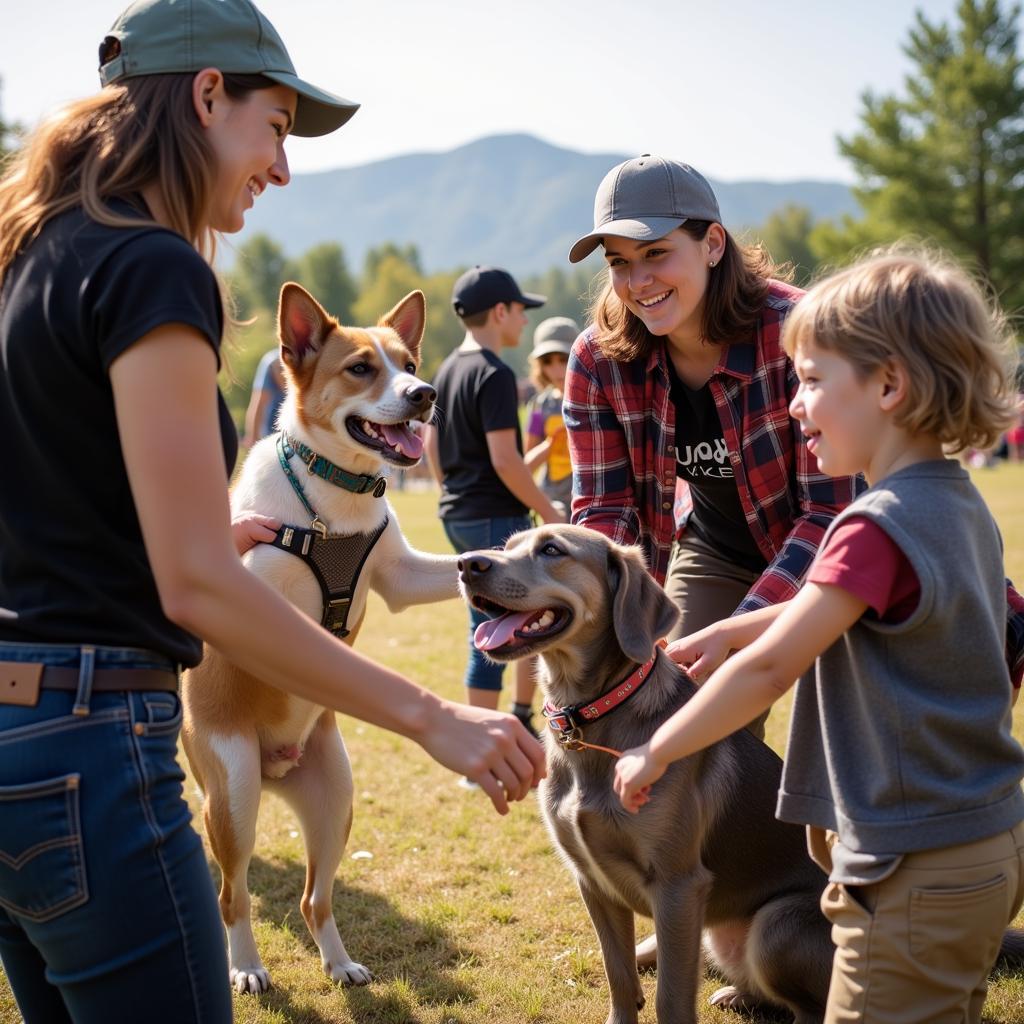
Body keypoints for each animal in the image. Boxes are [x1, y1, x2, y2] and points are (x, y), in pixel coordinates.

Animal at [182, 280, 458, 991]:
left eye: (408, 364)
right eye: (360, 368)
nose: (425, 394)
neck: (337, 501)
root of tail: (275, 770)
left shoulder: (402, 575)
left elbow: (466, 563)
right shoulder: (252, 587)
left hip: (336, 799)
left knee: (315, 897)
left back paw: (338, 962)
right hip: (233, 794)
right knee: (232, 894)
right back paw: (247, 967)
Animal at [460, 528, 835, 1024]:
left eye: (552, 550)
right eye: (506, 546)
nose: (466, 563)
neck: (590, 719)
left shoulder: (679, 886)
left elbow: (671, 997)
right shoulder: (591, 879)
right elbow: (618, 973)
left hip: (775, 926)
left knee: (811, 1007)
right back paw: (736, 993)